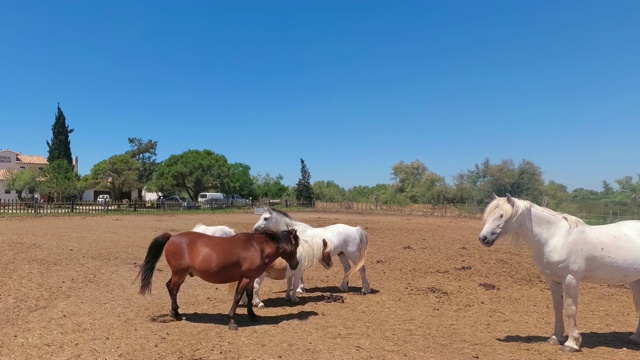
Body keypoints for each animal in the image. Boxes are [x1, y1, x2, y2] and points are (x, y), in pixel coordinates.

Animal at [136, 229, 300, 330]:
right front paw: (232, 321)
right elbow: (237, 297)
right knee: (172, 288)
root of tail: (173, 237)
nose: (296, 264)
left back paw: (175, 312)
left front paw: (253, 315)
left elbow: (249, 296)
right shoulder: (246, 278)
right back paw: (175, 313)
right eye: (296, 246)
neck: (257, 247)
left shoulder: (250, 278)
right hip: (179, 274)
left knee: (172, 288)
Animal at [480, 194, 640, 352]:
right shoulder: (552, 280)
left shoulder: (571, 279)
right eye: (488, 214)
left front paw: (572, 343)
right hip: (635, 281)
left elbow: (570, 309)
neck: (555, 237)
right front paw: (555, 337)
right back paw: (635, 338)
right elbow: (557, 307)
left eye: (501, 215)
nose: (483, 238)